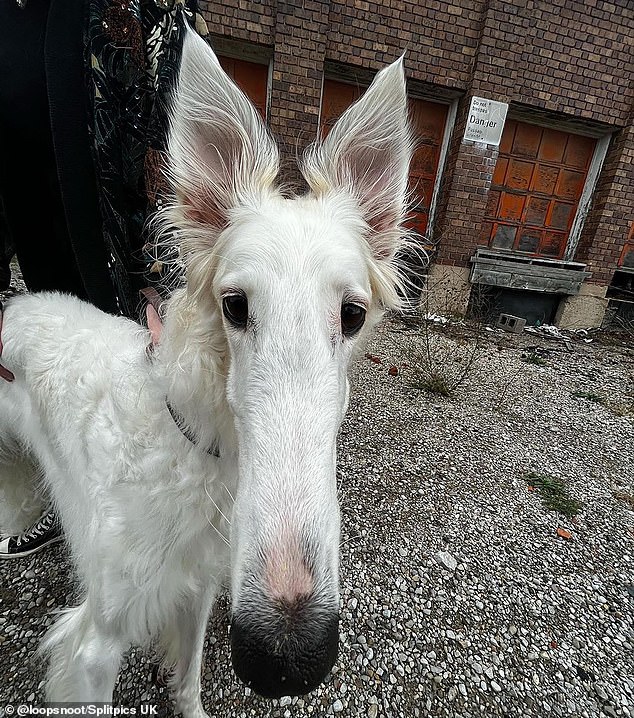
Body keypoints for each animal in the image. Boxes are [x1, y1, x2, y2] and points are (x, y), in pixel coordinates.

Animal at [0, 26, 412, 716]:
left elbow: (188, 678)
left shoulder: (197, 586)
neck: (192, 443)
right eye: (234, 305)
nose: (285, 661)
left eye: (354, 315)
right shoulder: (94, 643)